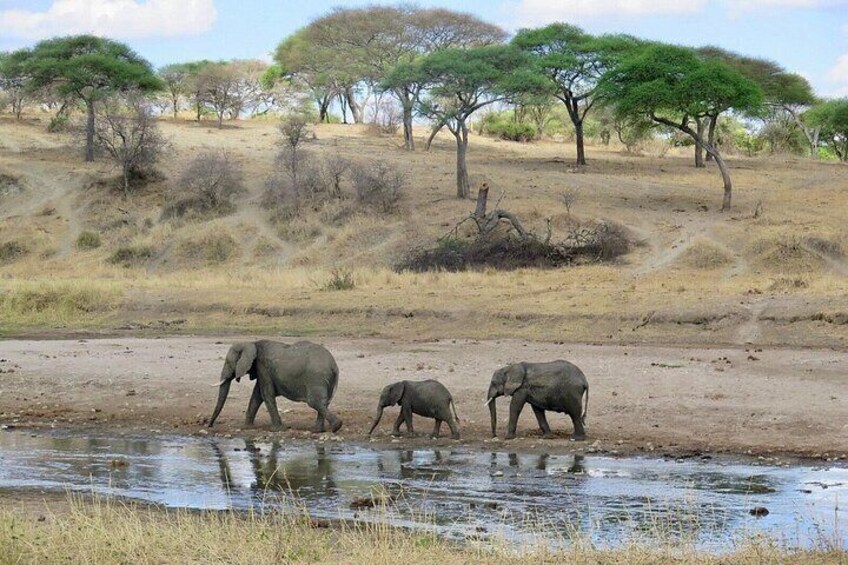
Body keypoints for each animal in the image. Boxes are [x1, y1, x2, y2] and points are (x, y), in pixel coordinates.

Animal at [208, 340, 342, 433]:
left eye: (228, 363)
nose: (209, 425)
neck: (251, 343)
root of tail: (334, 366)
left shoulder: (263, 367)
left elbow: (266, 394)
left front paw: (277, 429)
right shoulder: (262, 369)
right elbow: (257, 396)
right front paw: (247, 427)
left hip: (316, 378)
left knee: (314, 402)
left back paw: (335, 427)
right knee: (324, 402)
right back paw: (319, 430)